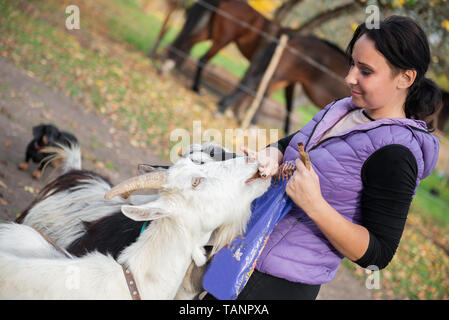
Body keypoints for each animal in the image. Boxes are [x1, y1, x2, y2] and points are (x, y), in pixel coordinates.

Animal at [161, 0, 350, 132]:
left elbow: (268, 97)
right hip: (225, 40)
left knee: (186, 42)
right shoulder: (283, 77)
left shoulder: (286, 80)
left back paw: (168, 66)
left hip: (209, 33)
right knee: (205, 60)